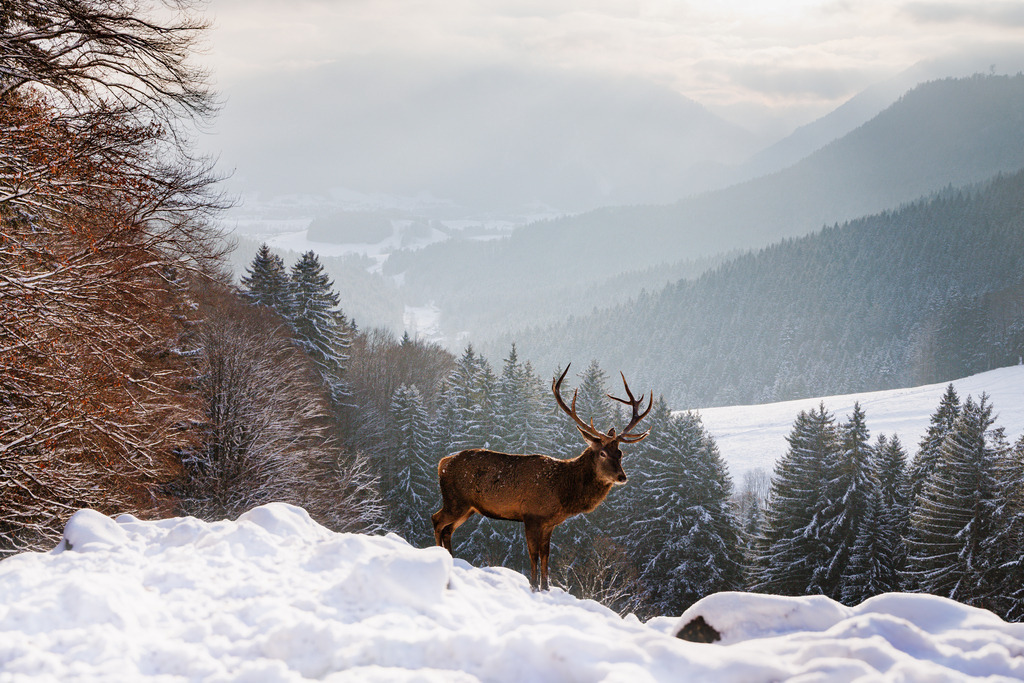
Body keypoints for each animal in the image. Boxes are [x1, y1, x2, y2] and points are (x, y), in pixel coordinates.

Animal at [431, 364, 652, 591]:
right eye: (602, 453)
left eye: (620, 453)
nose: (621, 476)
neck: (563, 492)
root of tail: (442, 463)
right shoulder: (531, 515)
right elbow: (533, 553)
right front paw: (533, 586)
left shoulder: (549, 522)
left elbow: (546, 554)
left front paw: (545, 587)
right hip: (456, 499)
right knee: (437, 520)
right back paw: (438, 556)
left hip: (469, 507)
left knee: (448, 529)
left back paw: (450, 557)